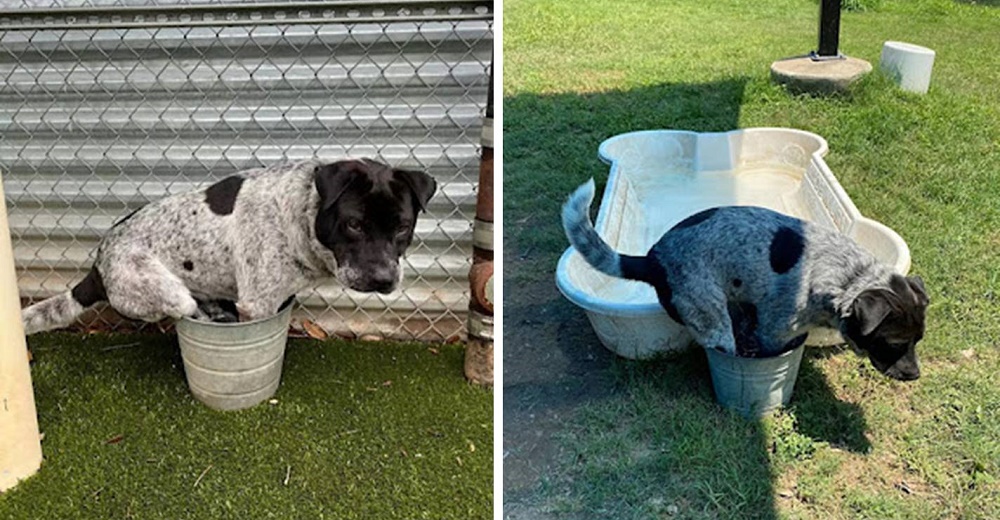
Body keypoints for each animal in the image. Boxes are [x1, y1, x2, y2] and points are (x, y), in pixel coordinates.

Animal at [21, 158, 436, 336]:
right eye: (353, 224)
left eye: (403, 227)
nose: (383, 279)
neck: (298, 214)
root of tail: (97, 265)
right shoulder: (257, 306)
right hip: (164, 291)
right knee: (185, 309)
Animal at [564, 180, 928, 382]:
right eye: (893, 343)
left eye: (918, 340)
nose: (915, 376)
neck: (847, 277)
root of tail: (653, 260)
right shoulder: (774, 331)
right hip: (715, 323)